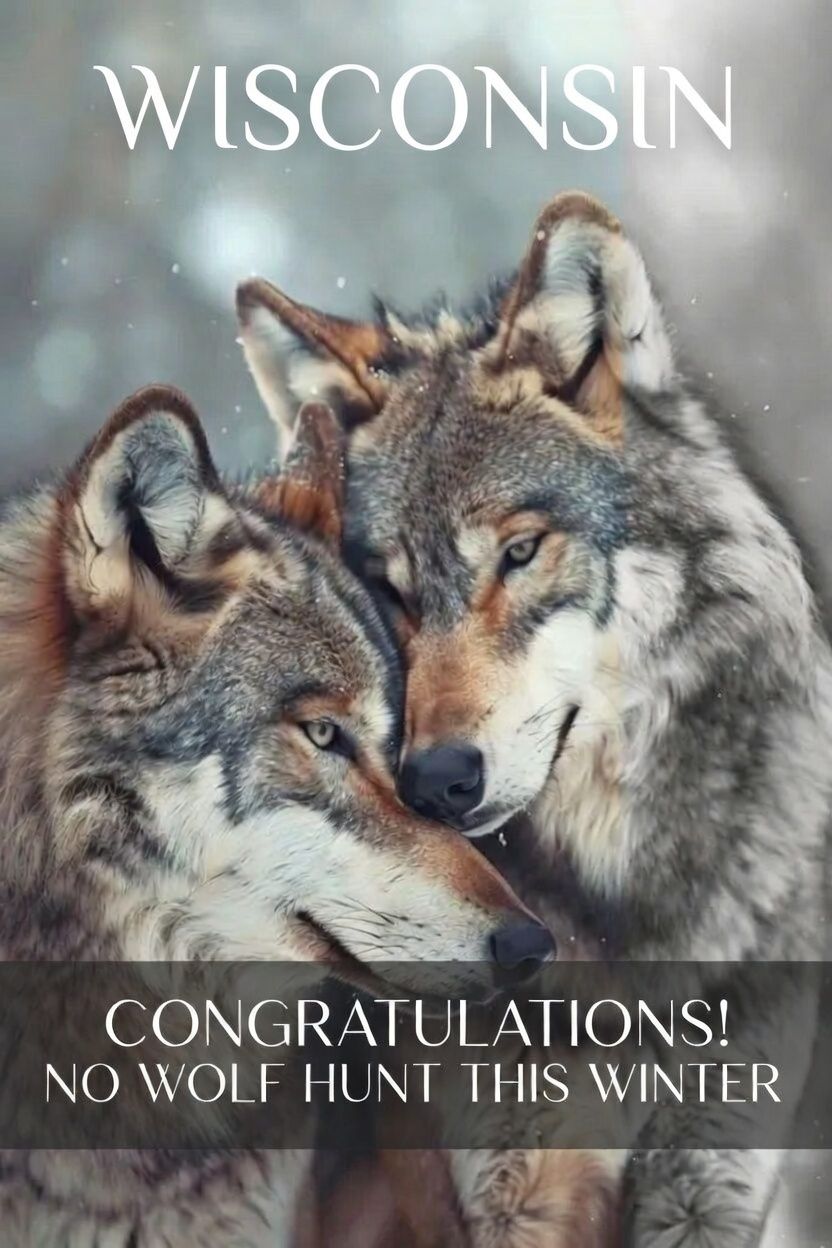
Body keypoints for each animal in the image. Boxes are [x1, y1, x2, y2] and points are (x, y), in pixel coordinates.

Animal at [236, 189, 832, 1246]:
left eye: (519, 552)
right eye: (388, 590)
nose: (436, 781)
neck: (622, 916)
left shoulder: (711, 1178)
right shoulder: (507, 1193)